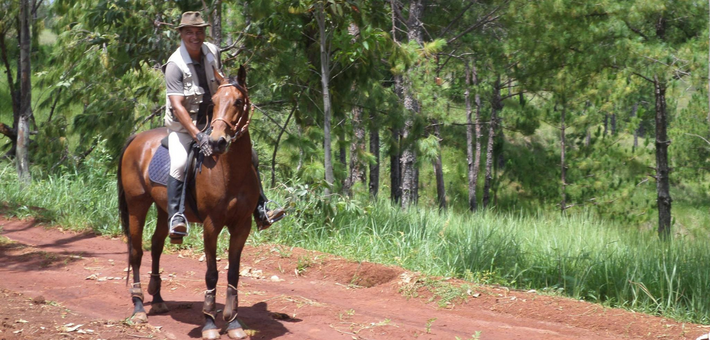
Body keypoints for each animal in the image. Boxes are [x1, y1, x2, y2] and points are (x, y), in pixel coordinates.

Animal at [117, 65, 258, 338]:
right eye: (214, 102)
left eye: (238, 101)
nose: (216, 141)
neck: (231, 172)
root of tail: (137, 139)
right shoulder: (212, 225)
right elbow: (212, 274)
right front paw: (210, 323)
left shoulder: (242, 225)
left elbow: (233, 273)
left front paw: (233, 322)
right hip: (137, 205)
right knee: (136, 251)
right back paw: (138, 307)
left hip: (165, 209)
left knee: (156, 245)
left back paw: (158, 299)